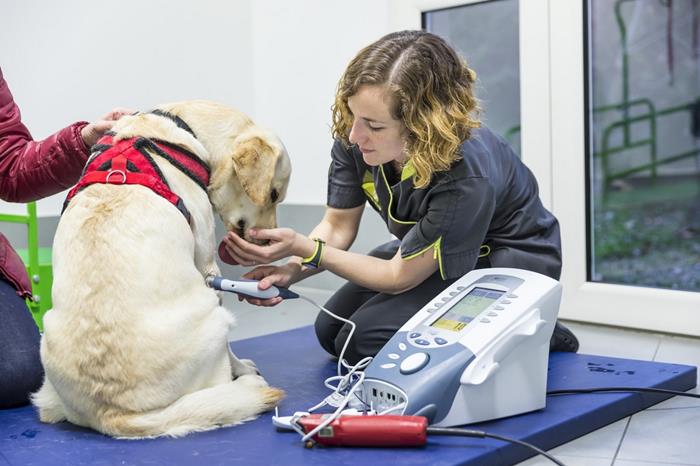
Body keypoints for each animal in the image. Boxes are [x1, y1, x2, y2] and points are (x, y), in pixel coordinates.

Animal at [32, 100, 290, 438]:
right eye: (273, 195)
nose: (269, 242)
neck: (181, 123)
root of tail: (110, 413)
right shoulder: (206, 265)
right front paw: (243, 367)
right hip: (216, 318)